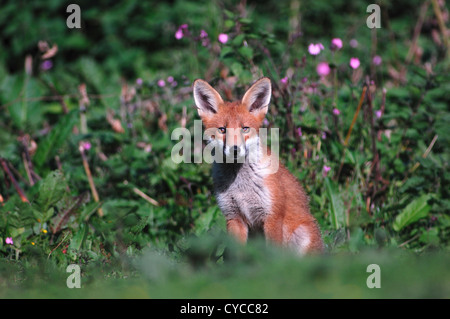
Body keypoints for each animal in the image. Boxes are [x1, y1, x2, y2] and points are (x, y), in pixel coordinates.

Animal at [193, 77, 324, 255]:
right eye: (222, 130)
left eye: (245, 128)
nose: (235, 149)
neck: (241, 186)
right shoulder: (234, 217)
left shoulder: (272, 217)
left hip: (302, 234)